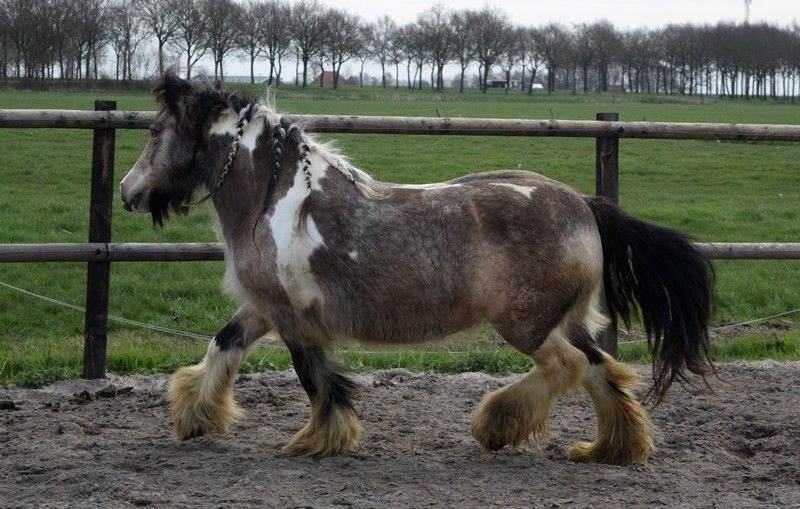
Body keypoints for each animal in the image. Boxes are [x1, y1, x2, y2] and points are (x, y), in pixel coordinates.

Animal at [120, 71, 715, 466]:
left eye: (153, 132)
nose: (128, 192)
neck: (278, 200)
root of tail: (584, 205)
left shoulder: (292, 317)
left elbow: (315, 379)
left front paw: (317, 440)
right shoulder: (263, 307)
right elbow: (223, 346)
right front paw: (194, 417)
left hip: (527, 324)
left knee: (566, 368)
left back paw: (497, 424)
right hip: (563, 320)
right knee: (600, 370)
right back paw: (610, 448)